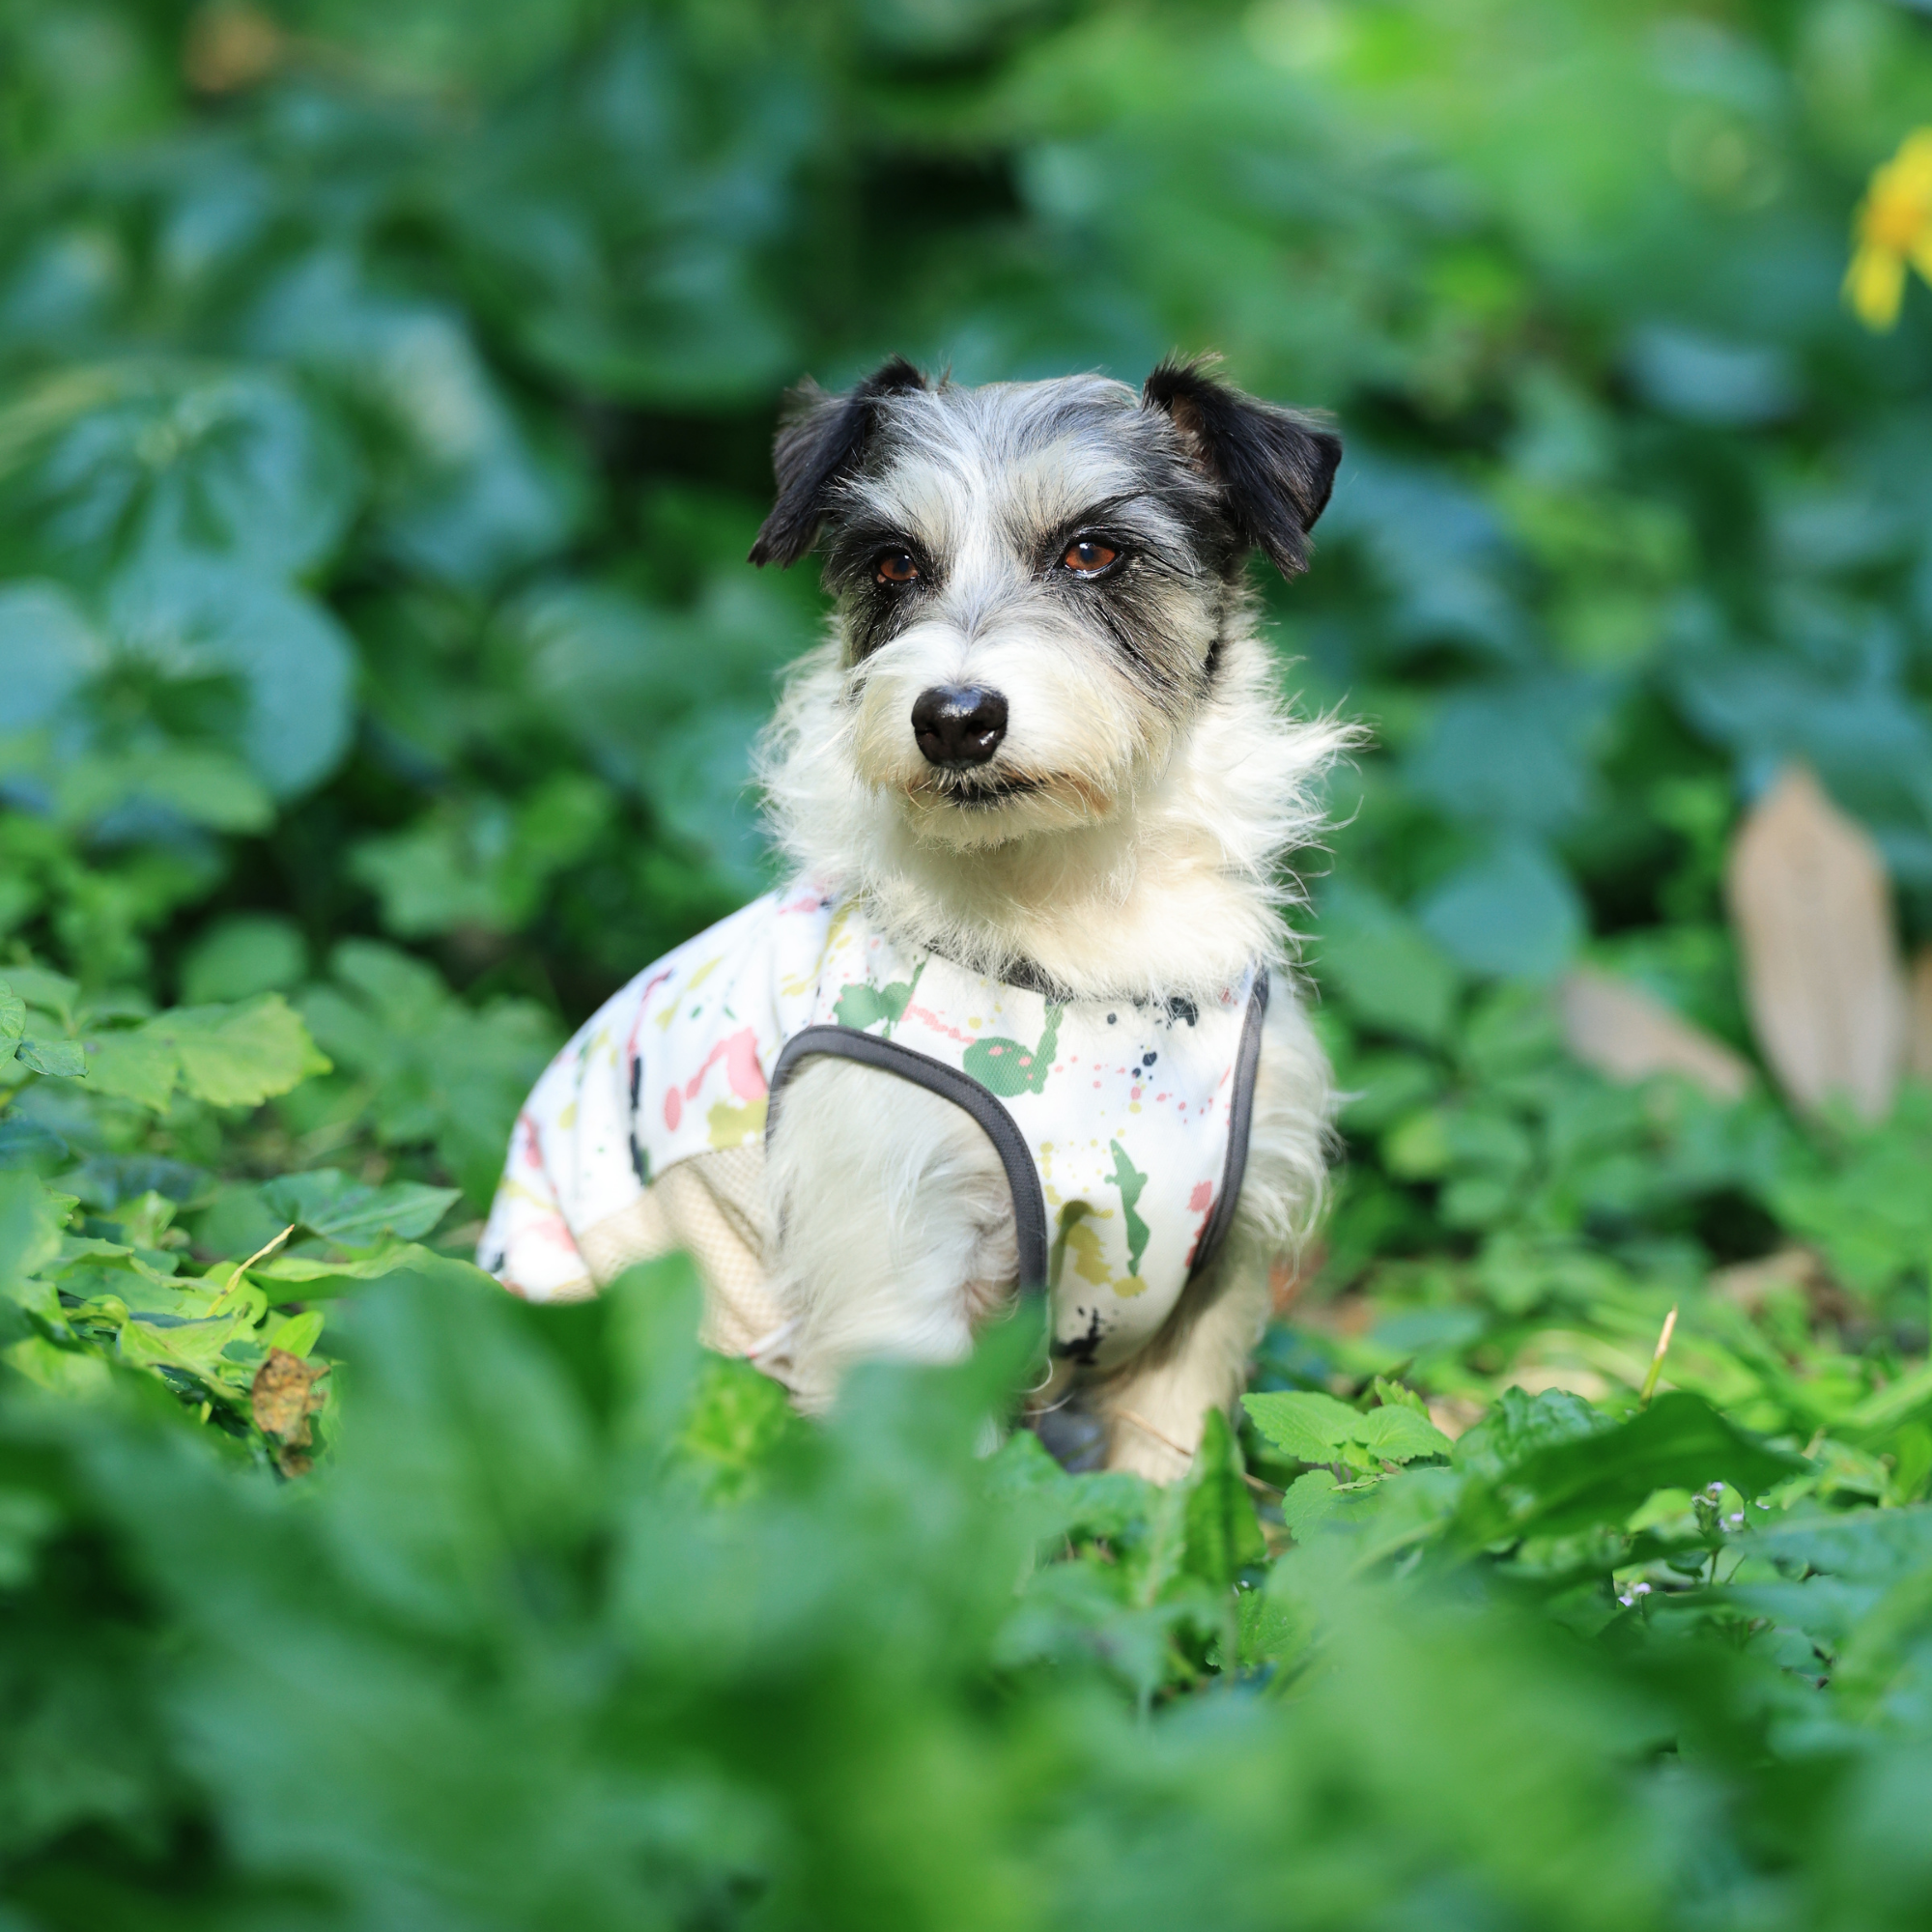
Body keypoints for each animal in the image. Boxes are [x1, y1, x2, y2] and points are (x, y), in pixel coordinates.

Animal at [483, 359, 1345, 1476]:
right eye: (895, 563)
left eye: (1093, 550)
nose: (954, 718)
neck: (1071, 930)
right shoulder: (900, 1261)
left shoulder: (1213, 1270)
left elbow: (1171, 1471)